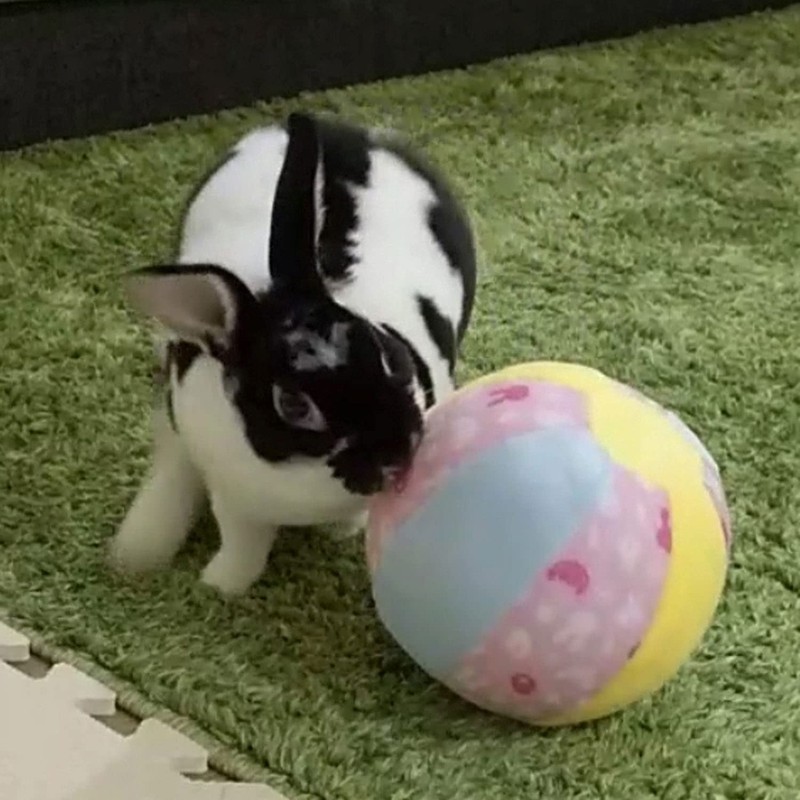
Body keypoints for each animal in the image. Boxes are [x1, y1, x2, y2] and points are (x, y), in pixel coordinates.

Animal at [109, 111, 477, 596]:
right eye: (293, 406)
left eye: (386, 353)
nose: (395, 455)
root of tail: (350, 132)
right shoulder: (232, 497)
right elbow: (243, 544)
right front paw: (220, 586)